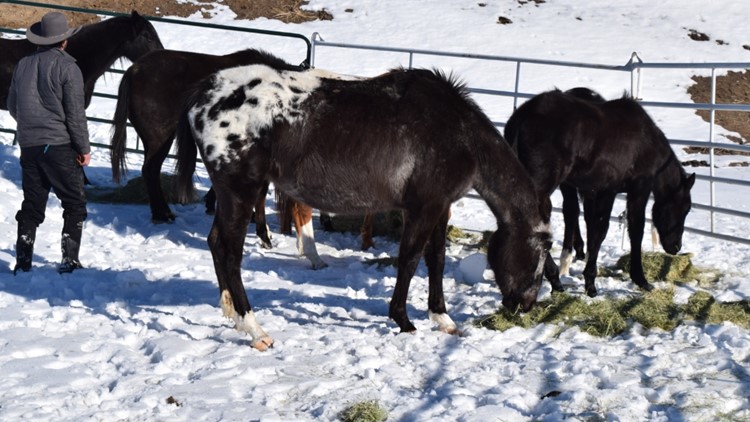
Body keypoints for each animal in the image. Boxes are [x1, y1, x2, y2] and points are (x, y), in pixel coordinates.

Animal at [174, 62, 552, 350]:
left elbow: (437, 259)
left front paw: (442, 317)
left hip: (230, 196)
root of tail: (204, 94)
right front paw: (403, 320)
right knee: (230, 253)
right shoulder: (422, 208)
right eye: (542, 251)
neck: (457, 134)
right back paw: (254, 329)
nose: (526, 304)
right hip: (241, 192)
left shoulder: (440, 208)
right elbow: (409, 260)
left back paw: (232, 315)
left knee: (215, 243)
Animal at [504, 88, 695, 297]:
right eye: (683, 209)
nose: (676, 247)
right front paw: (637, 280)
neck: (647, 144)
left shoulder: (601, 191)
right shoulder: (633, 189)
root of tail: (522, 116)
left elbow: (596, 230)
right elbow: (628, 230)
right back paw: (553, 277)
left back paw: (552, 279)